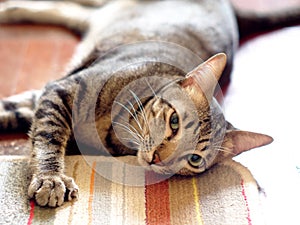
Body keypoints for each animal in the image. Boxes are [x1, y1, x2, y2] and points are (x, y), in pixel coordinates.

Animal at [0, 0, 298, 207]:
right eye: (175, 122)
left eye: (194, 159)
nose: (158, 158)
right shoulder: (60, 90)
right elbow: (48, 136)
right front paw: (50, 179)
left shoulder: (39, 99)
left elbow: (17, 115)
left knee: (70, 10)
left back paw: (12, 9)